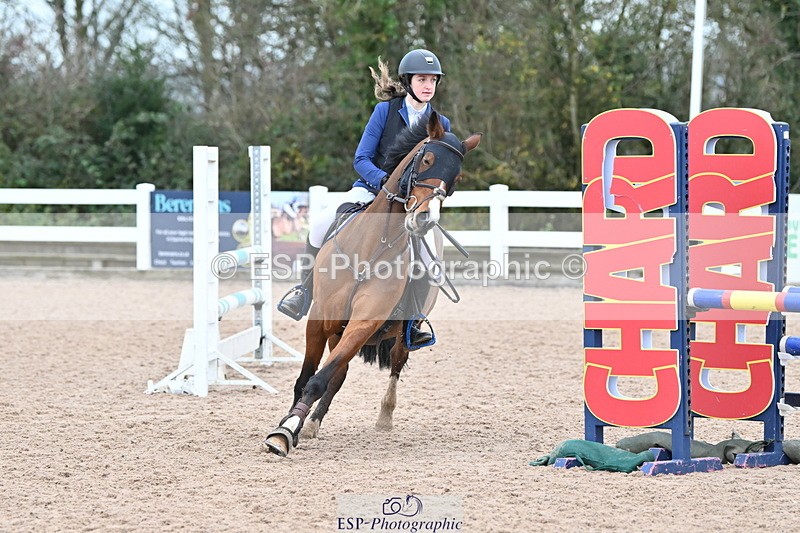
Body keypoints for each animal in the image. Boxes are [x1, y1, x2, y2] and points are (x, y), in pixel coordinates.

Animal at [264, 111, 482, 457]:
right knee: (338, 373)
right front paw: (288, 426)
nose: (425, 219)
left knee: (389, 367)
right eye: (428, 160)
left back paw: (381, 418)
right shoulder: (320, 319)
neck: (372, 248)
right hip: (335, 330)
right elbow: (306, 377)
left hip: (398, 336)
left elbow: (319, 380)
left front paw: (286, 431)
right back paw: (312, 424)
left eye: (456, 178)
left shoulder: (363, 323)